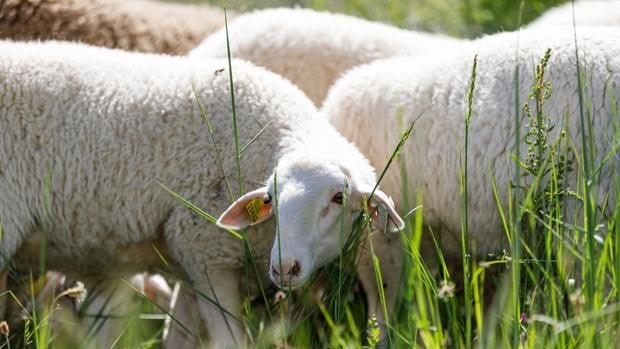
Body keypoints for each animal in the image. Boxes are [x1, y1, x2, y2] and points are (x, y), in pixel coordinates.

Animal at [0, 40, 404, 346]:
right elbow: (230, 342)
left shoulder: (189, 263)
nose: (283, 267)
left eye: (338, 199)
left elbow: (178, 338)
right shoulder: (208, 253)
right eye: (271, 199)